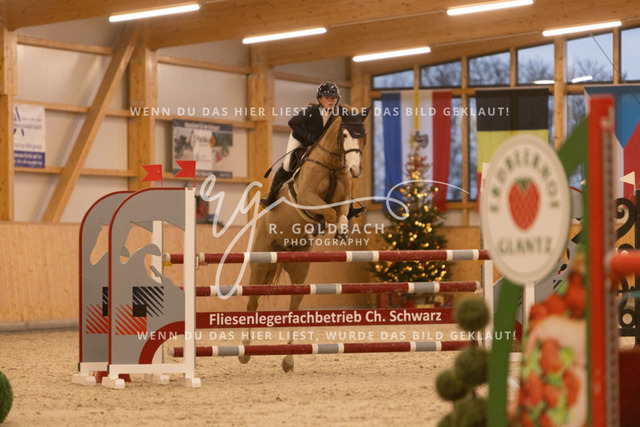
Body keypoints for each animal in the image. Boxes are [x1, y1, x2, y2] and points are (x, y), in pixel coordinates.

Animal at [240, 106, 370, 372]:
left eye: (363, 136)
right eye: (344, 135)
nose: (355, 170)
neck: (332, 166)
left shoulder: (343, 200)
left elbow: (341, 213)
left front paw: (340, 230)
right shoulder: (308, 198)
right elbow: (328, 212)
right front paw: (327, 226)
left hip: (299, 271)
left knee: (294, 307)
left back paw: (288, 359)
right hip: (261, 264)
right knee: (252, 302)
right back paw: (245, 352)